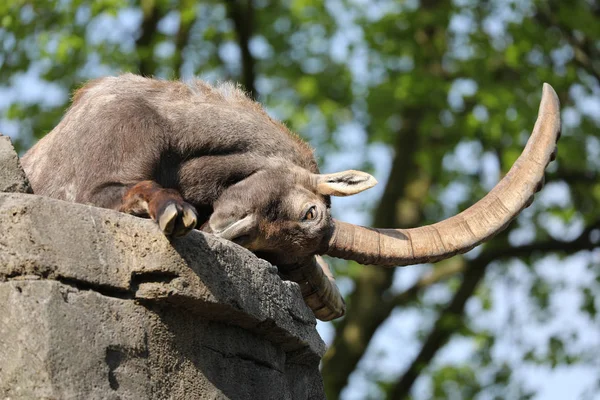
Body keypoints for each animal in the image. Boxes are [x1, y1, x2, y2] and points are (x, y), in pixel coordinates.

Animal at [21, 73, 560, 320]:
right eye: (311, 210)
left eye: (276, 258)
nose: (225, 230)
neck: (173, 133)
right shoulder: (91, 178)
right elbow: (130, 191)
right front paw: (175, 211)